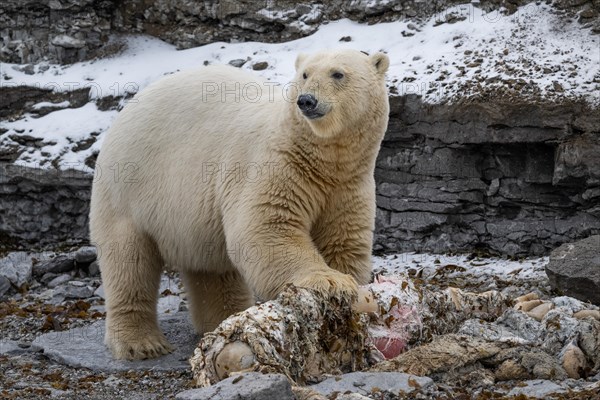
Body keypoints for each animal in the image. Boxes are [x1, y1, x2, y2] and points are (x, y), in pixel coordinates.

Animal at [88, 49, 390, 360]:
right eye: (305, 74)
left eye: (338, 74)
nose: (307, 100)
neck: (321, 160)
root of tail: (128, 108)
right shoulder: (273, 166)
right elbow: (267, 228)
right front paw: (330, 282)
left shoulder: (348, 184)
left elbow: (342, 240)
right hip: (128, 186)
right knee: (128, 260)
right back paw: (142, 343)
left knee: (212, 269)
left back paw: (225, 318)